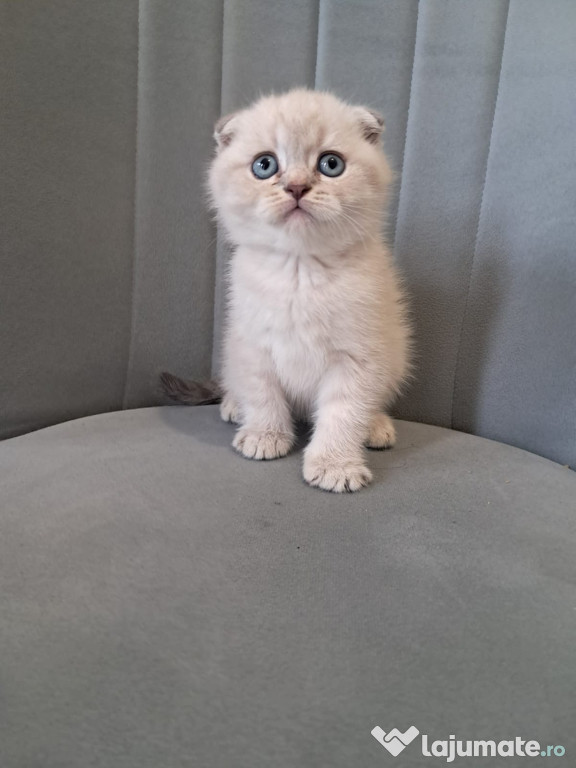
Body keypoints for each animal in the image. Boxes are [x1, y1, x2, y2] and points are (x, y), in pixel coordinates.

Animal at [164, 88, 412, 492]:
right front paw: (265, 436)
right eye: (264, 165)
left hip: (395, 355)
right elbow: (263, 394)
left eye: (331, 164)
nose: (296, 187)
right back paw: (234, 407)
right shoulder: (253, 344)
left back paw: (375, 426)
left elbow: (344, 412)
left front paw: (335, 465)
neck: (300, 271)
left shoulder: (358, 356)